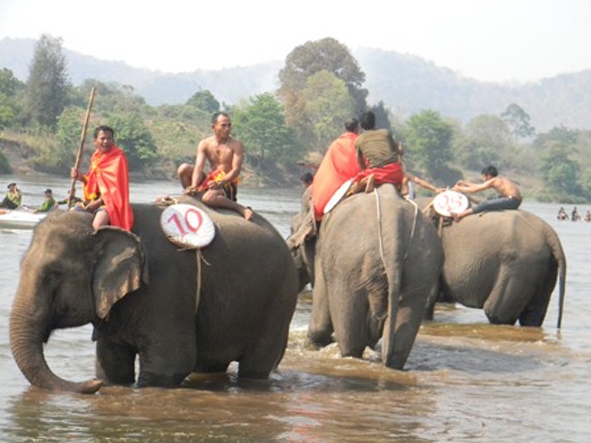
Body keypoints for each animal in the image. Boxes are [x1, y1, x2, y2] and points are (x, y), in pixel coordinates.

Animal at [11, 198, 300, 396]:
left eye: (54, 274)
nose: (93, 385)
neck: (104, 224)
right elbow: (111, 364)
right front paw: (109, 382)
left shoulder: (167, 289)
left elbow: (169, 364)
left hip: (280, 301)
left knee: (256, 366)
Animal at [286, 186, 444, 370]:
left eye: (291, 229)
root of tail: (393, 226)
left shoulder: (324, 253)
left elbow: (320, 325)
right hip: (420, 270)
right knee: (399, 344)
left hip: (348, 268)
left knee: (351, 341)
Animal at [424, 206, 568, 328]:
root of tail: (549, 233)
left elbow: (427, 298)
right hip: (544, 269)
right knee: (533, 315)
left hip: (518, 268)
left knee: (496, 314)